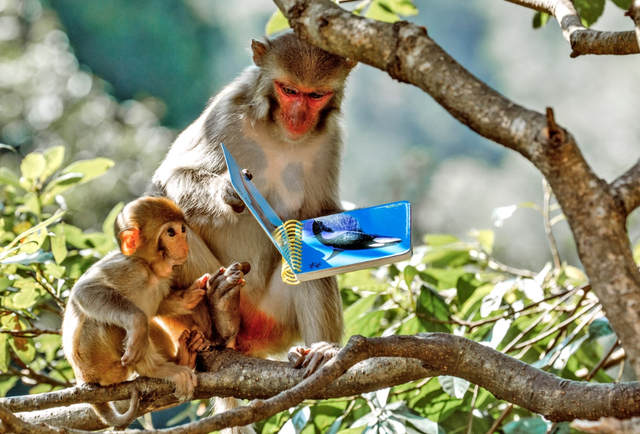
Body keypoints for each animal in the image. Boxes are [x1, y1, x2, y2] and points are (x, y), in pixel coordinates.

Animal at [62, 197, 248, 428]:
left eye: (183, 229)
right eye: (171, 232)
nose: (185, 244)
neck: (151, 271)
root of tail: (82, 378)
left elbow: (161, 305)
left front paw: (188, 296)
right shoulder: (129, 268)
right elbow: (85, 290)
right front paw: (137, 322)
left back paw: (183, 357)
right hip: (94, 359)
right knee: (107, 323)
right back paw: (158, 369)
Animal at [152, 31, 358, 376]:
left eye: (315, 95)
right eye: (288, 90)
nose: (298, 118)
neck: (277, 132)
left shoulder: (330, 141)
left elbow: (316, 215)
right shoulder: (225, 111)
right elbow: (168, 177)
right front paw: (228, 190)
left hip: (273, 321)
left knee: (300, 242)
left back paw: (322, 350)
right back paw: (220, 318)